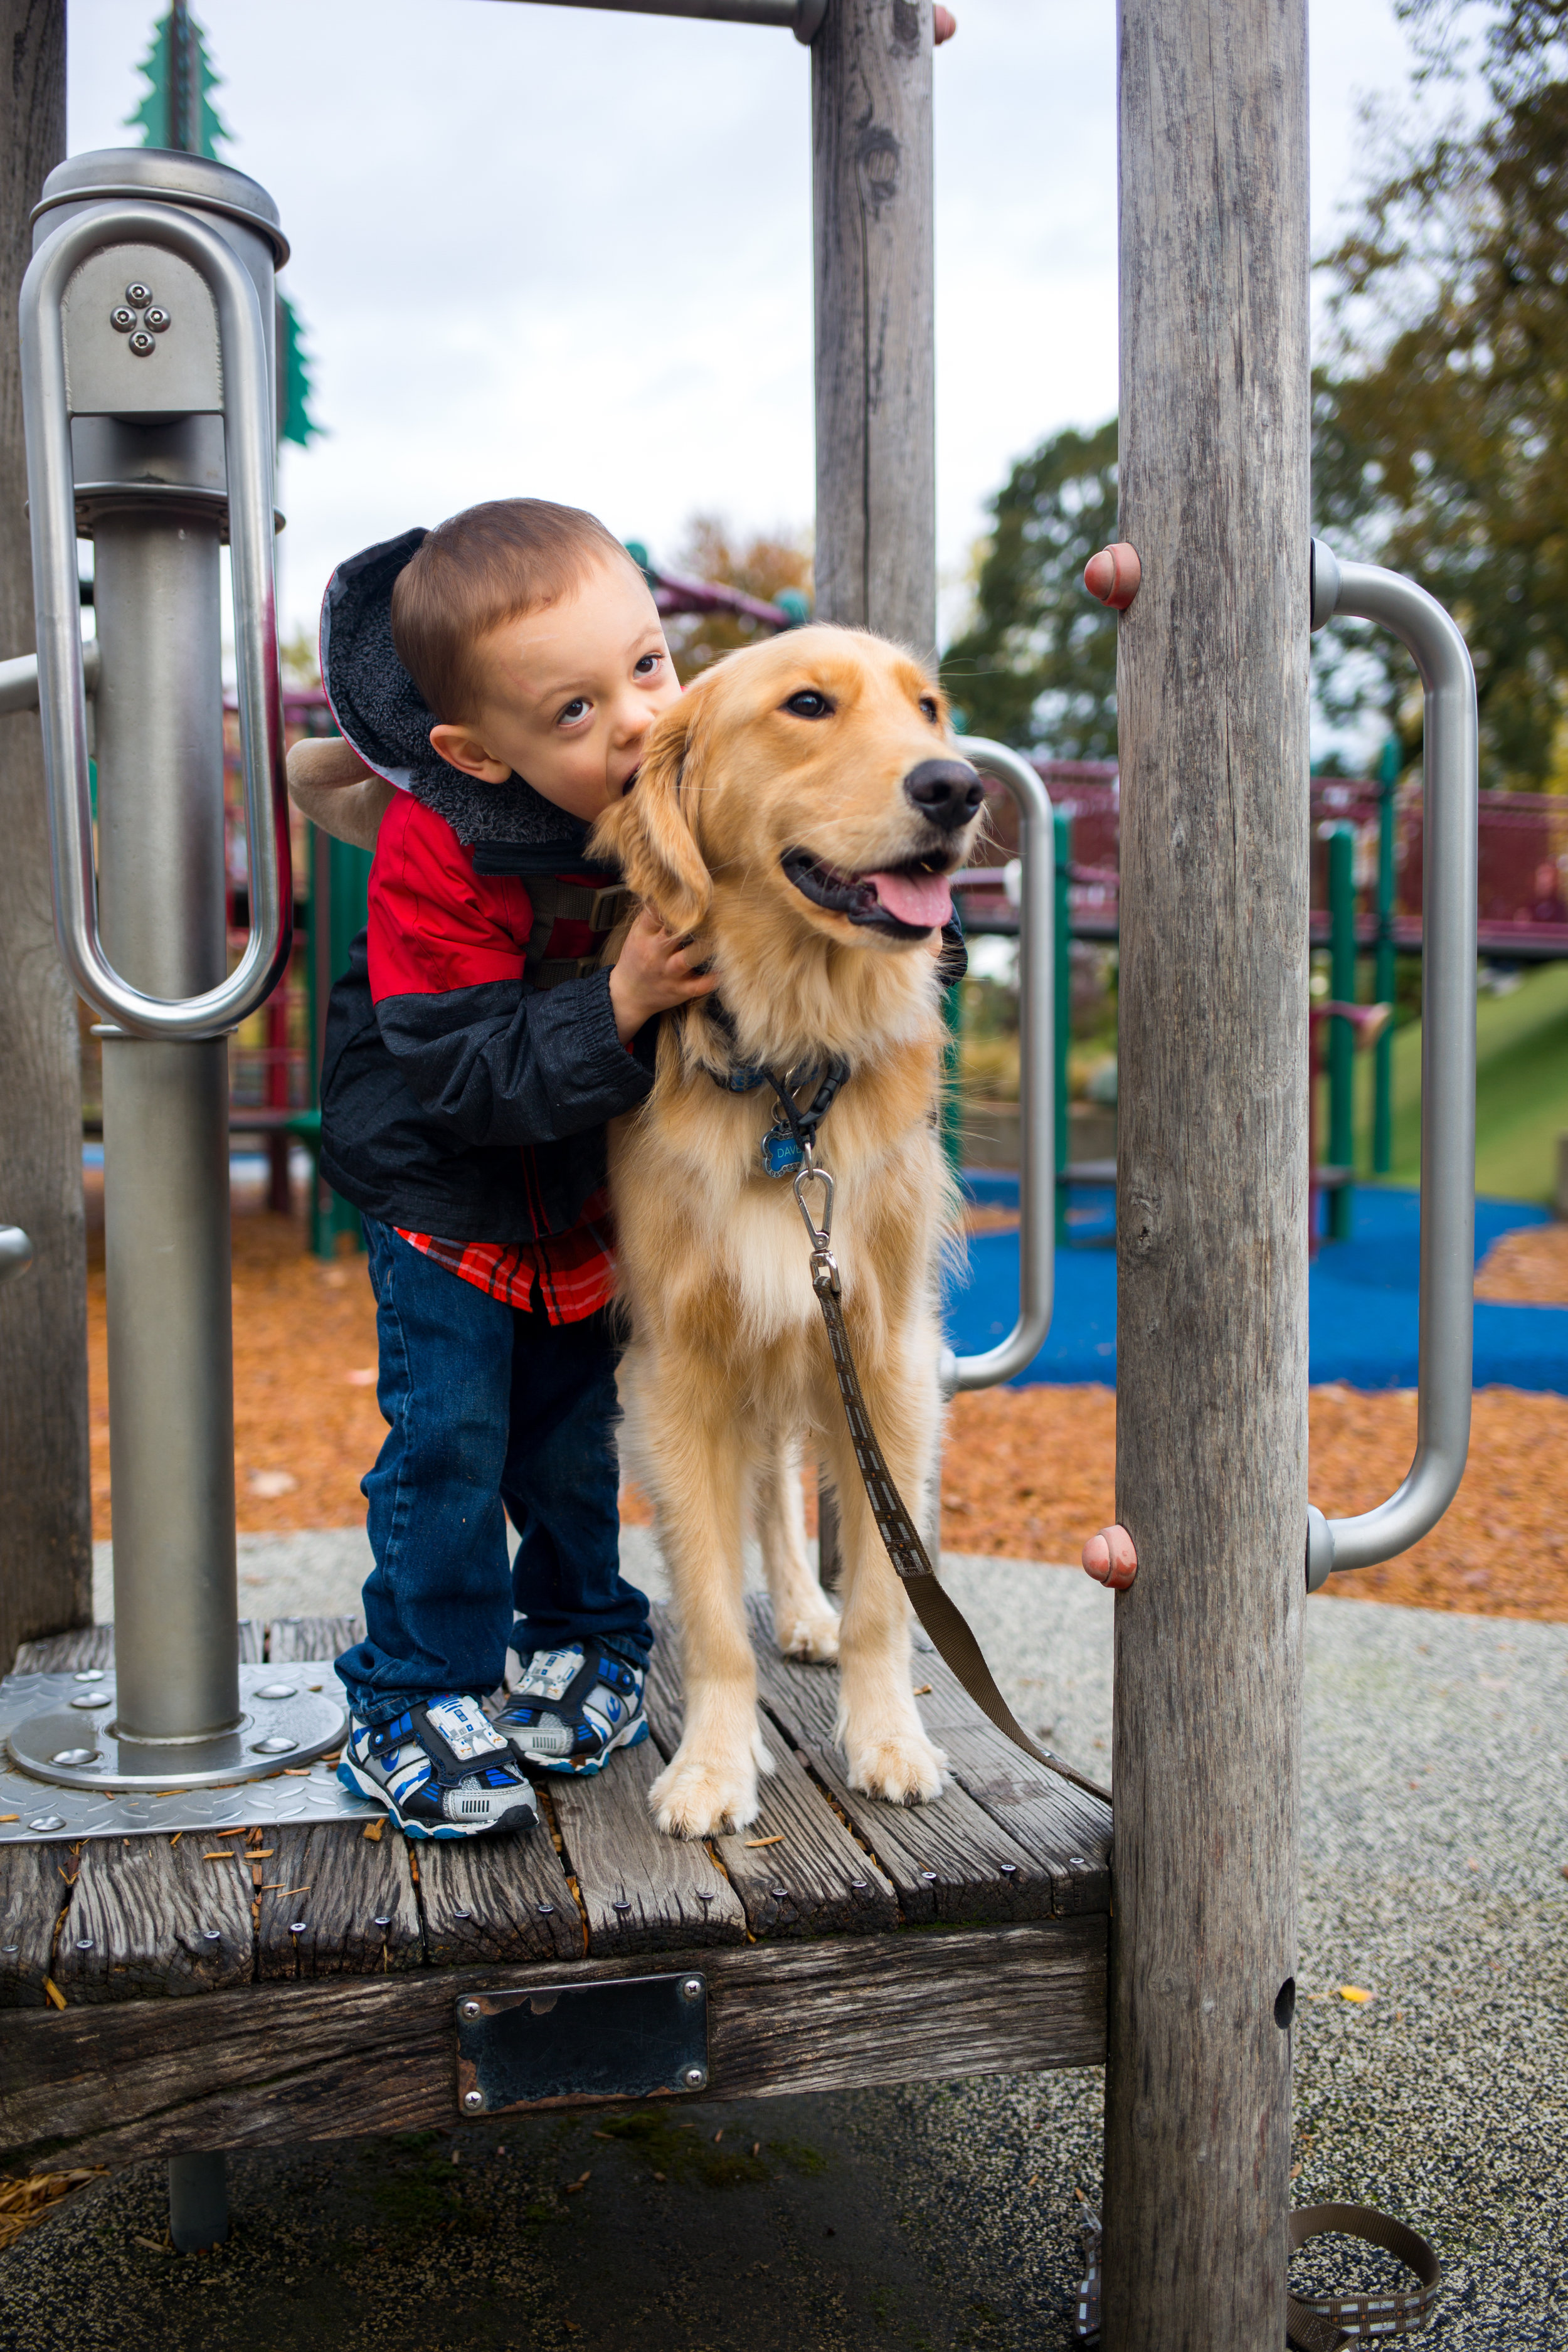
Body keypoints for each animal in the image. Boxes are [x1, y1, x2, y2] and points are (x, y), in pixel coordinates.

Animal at [588, 625, 982, 1835]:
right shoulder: (678, 1370)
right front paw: (714, 1765)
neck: (790, 1072)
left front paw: (889, 1735)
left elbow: (886, 1596)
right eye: (807, 705)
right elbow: (714, 1608)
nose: (958, 787)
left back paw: (807, 1612)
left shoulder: (886, 1351)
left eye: (928, 709)